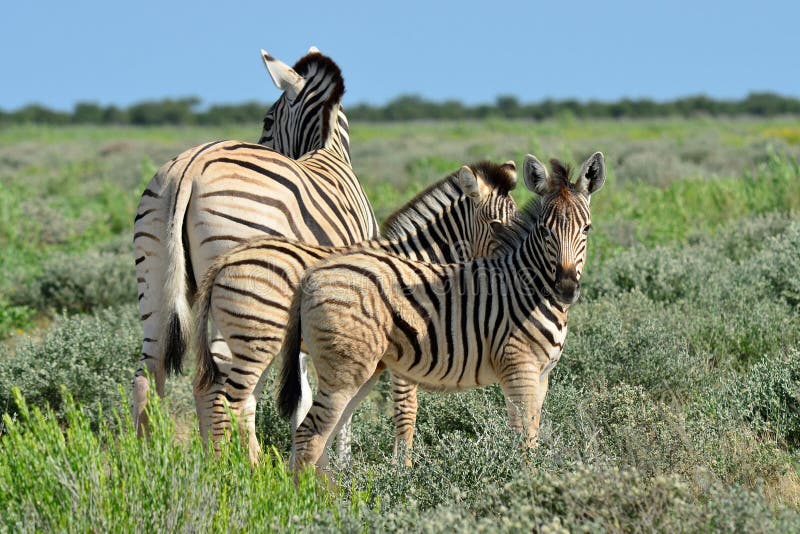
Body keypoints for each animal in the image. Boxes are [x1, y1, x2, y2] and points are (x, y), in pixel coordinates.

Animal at [132, 48, 377, 442]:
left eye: (266, 120)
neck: (328, 150)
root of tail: (191, 166)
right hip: (242, 290)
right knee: (223, 390)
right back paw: (238, 459)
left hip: (155, 276)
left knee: (150, 373)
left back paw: (151, 455)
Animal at [192, 161, 518, 464]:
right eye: (495, 224)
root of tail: (227, 258)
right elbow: (406, 409)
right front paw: (404, 469)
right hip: (255, 340)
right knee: (226, 402)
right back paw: (229, 469)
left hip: (252, 342)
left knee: (238, 401)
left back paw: (254, 468)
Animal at [277, 152, 606, 471]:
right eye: (544, 230)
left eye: (587, 228)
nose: (566, 288)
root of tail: (314, 273)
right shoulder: (517, 370)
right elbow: (522, 440)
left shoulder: (541, 376)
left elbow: (531, 436)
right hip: (328, 366)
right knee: (305, 433)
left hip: (357, 369)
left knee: (321, 434)